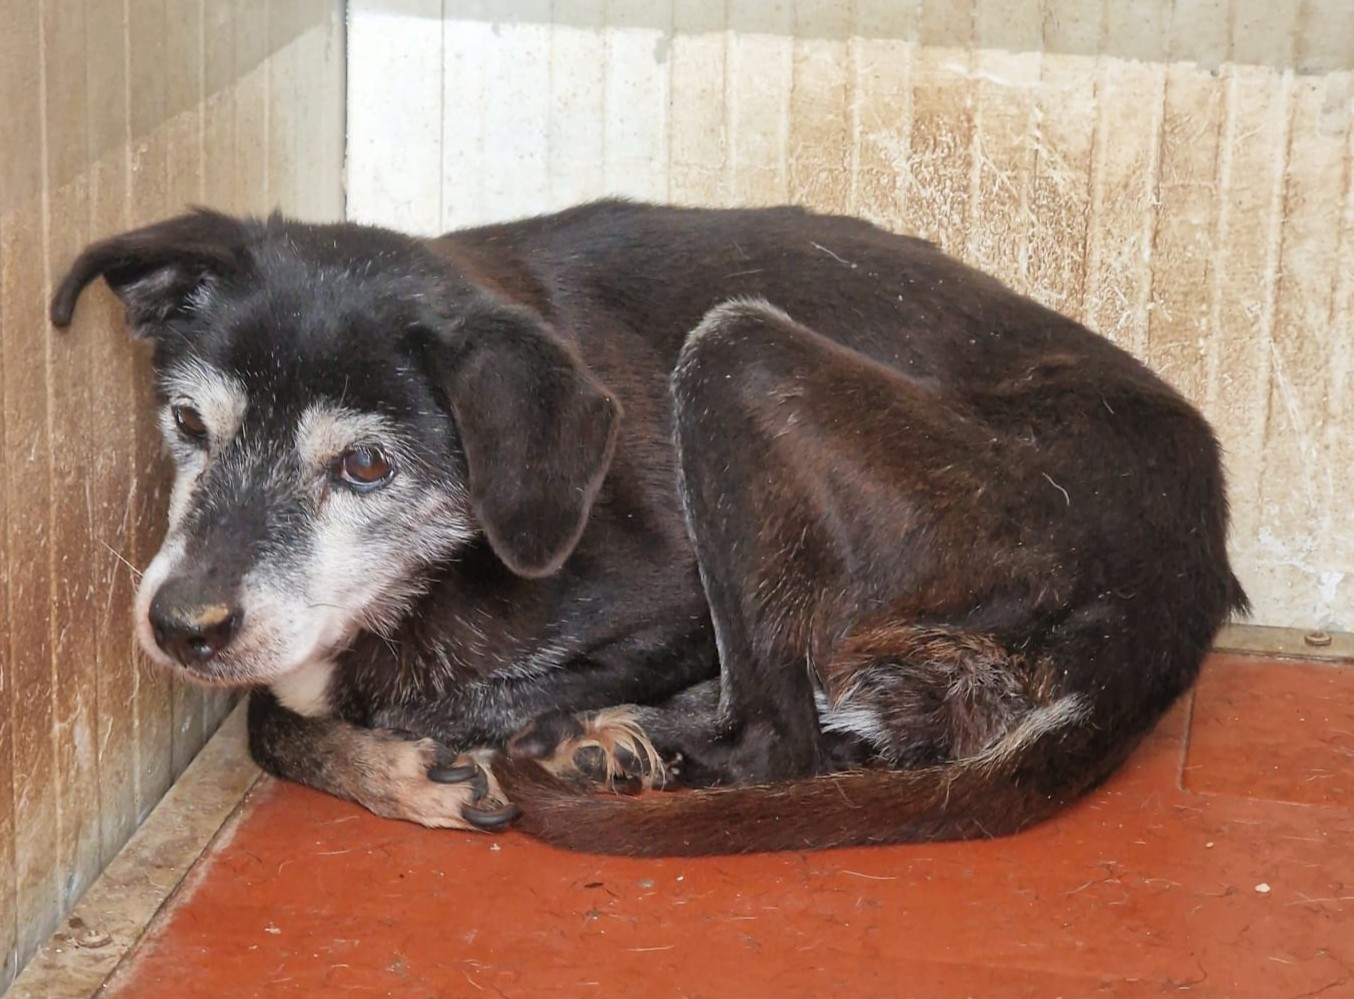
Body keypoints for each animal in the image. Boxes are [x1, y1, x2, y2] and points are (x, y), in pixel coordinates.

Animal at [51, 199, 1247, 856]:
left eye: (366, 465)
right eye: (188, 423)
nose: (181, 626)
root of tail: (1175, 580)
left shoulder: (667, 605)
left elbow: (346, 703)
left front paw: (515, 737)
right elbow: (280, 715)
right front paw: (404, 767)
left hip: (734, 351)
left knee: (776, 742)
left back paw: (595, 745)